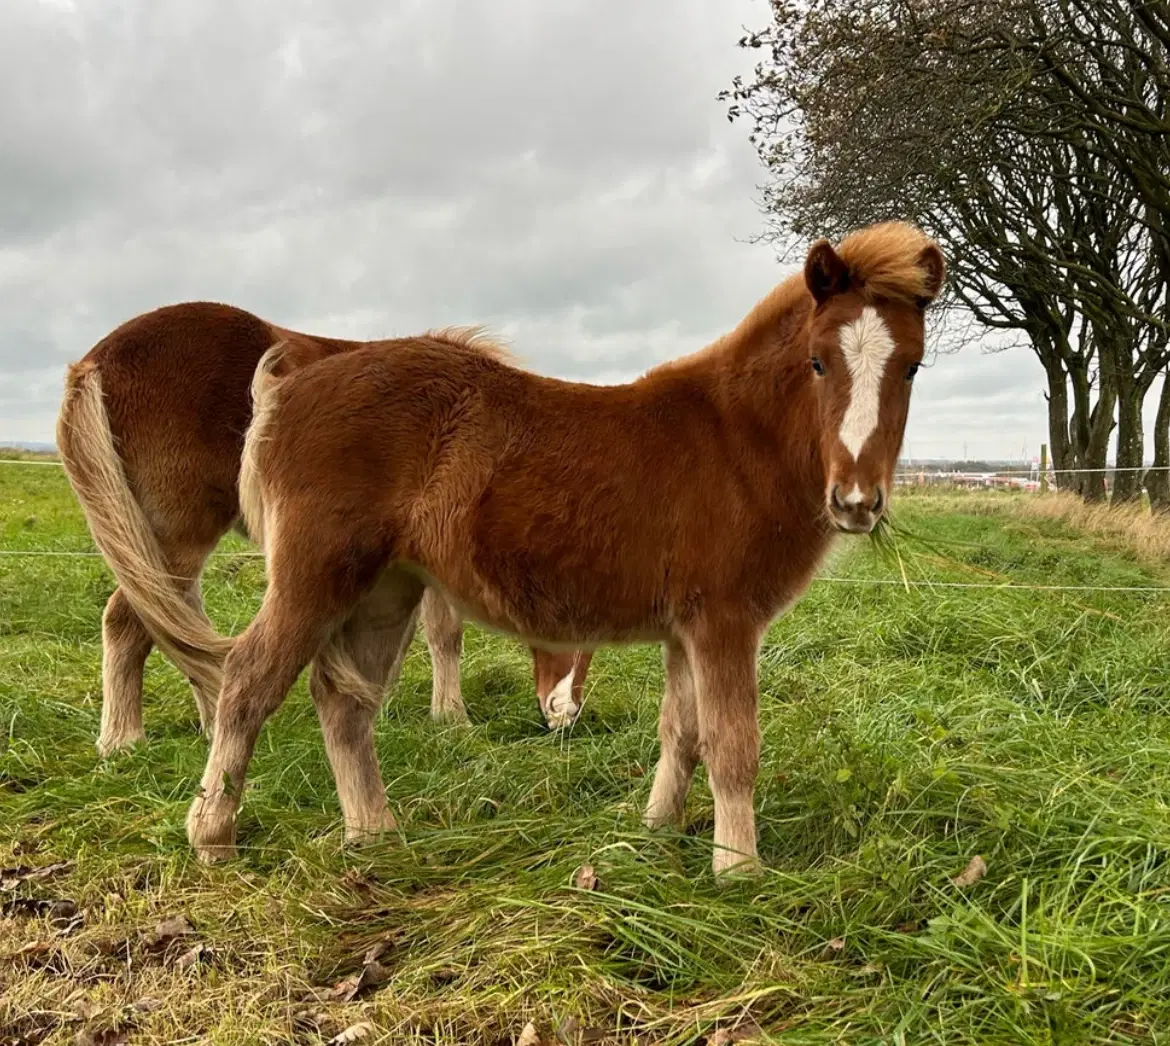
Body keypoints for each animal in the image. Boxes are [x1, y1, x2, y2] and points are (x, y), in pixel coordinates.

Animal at [54, 301, 589, 753]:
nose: (565, 716)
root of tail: (97, 362)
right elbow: (444, 633)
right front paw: (452, 718)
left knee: (179, 621)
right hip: (176, 536)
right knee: (130, 621)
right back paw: (122, 740)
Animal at [187, 223, 945, 875]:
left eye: (912, 368)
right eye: (818, 361)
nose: (856, 501)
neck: (736, 442)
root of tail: (283, 391)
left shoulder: (687, 628)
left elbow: (682, 733)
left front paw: (656, 834)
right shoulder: (726, 621)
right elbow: (733, 746)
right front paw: (739, 871)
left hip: (385, 589)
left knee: (344, 704)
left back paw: (377, 838)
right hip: (317, 575)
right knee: (249, 680)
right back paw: (214, 835)